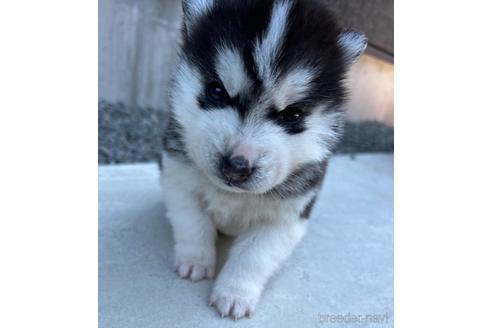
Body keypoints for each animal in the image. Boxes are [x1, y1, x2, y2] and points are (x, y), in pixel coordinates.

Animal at [161, 0, 366, 320]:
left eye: (292, 115)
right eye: (216, 90)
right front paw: (195, 261)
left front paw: (234, 293)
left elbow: (254, 257)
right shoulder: (177, 178)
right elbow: (192, 222)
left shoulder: (287, 216)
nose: (236, 166)